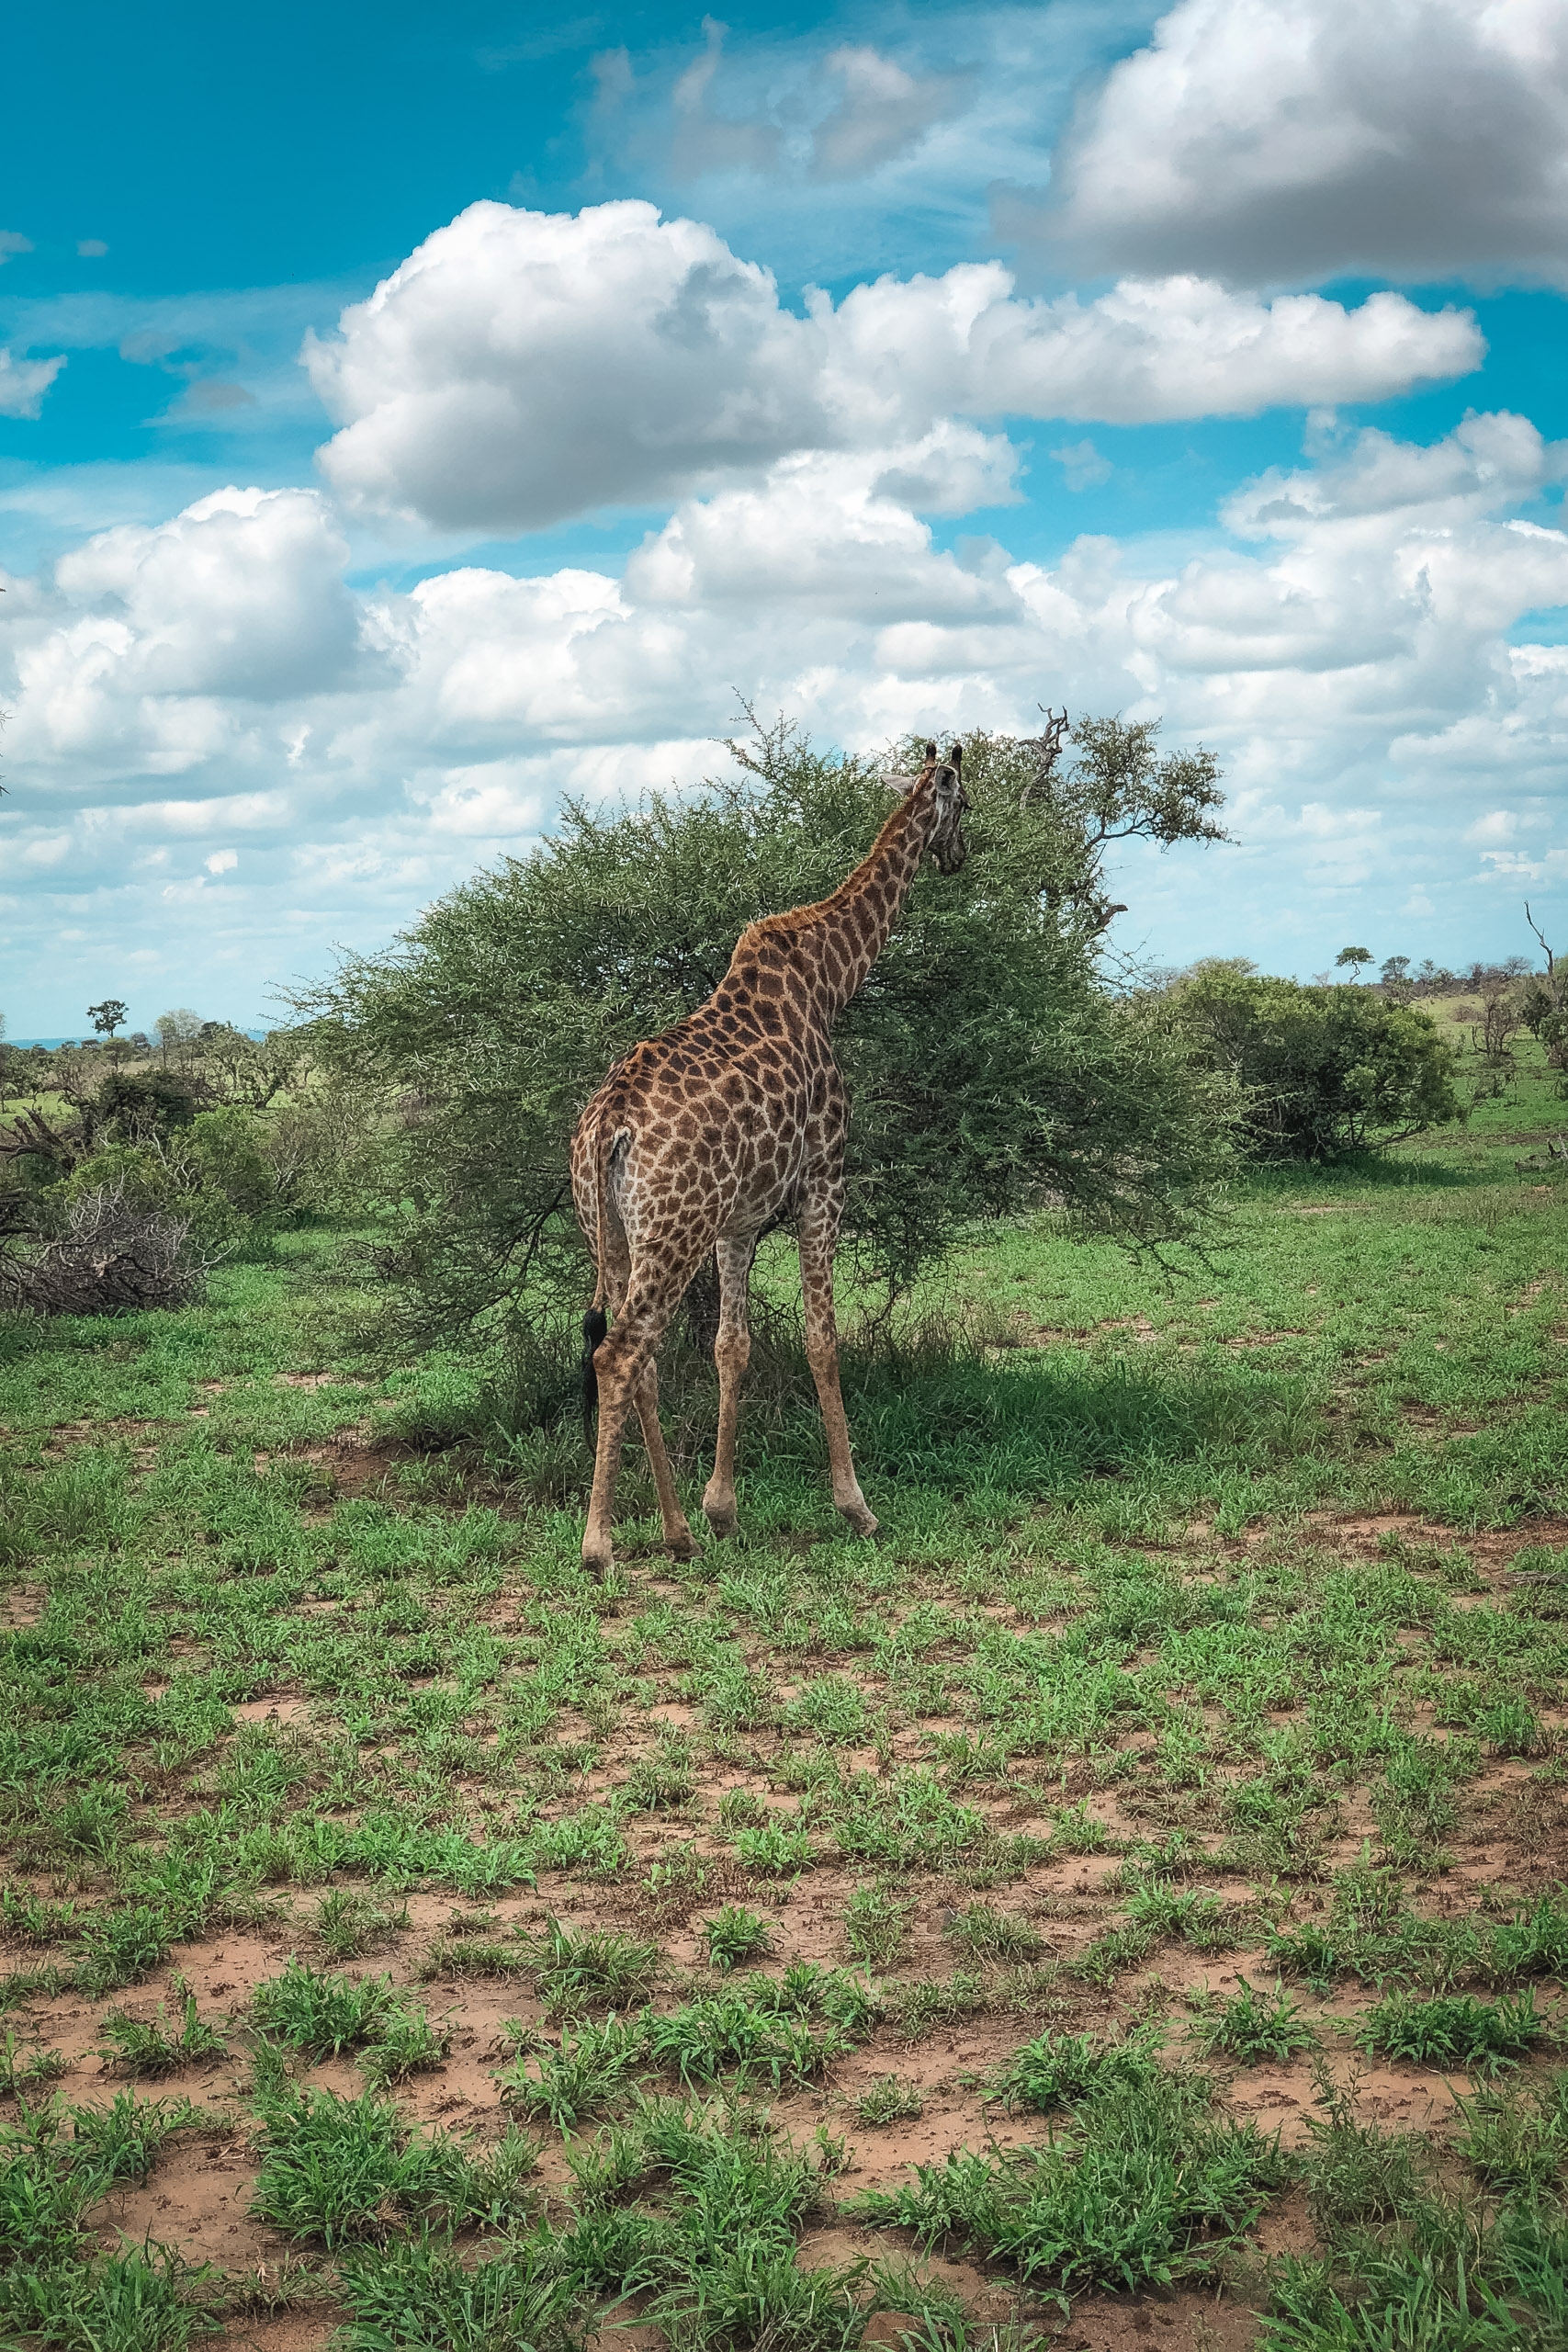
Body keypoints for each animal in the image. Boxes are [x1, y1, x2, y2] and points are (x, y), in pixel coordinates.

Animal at [569, 741, 969, 1575]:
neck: (827, 981)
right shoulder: (824, 1184)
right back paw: (598, 1547)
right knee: (620, 1353)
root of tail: (606, 1128)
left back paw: (676, 1532)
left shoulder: (738, 1221)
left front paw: (720, 1511)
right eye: (968, 803)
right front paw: (856, 1507)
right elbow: (822, 1339)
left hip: (614, 1234)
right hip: (672, 1230)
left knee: (639, 1359)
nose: (957, 855)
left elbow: (731, 1347)